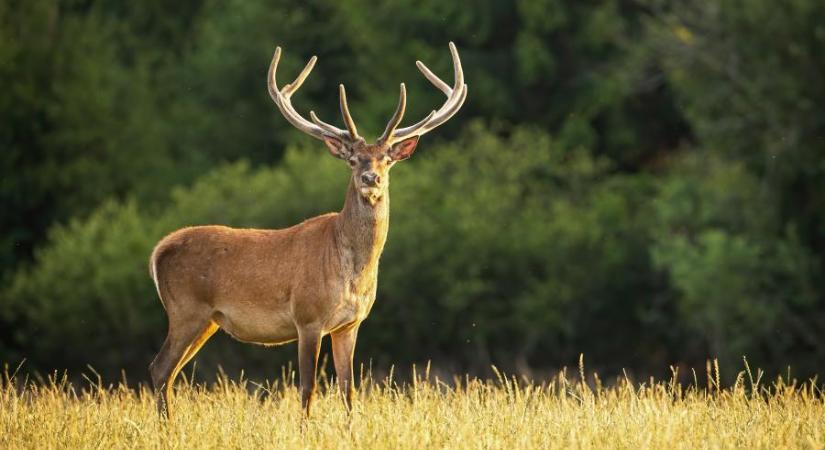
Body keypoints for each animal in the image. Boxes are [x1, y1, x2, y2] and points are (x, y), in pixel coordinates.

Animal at [148, 42, 466, 418]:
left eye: (387, 159)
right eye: (352, 159)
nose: (370, 178)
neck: (352, 271)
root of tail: (158, 251)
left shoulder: (350, 324)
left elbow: (348, 390)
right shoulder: (307, 317)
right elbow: (308, 388)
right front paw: (305, 426)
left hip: (207, 320)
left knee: (169, 373)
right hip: (186, 309)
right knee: (159, 368)